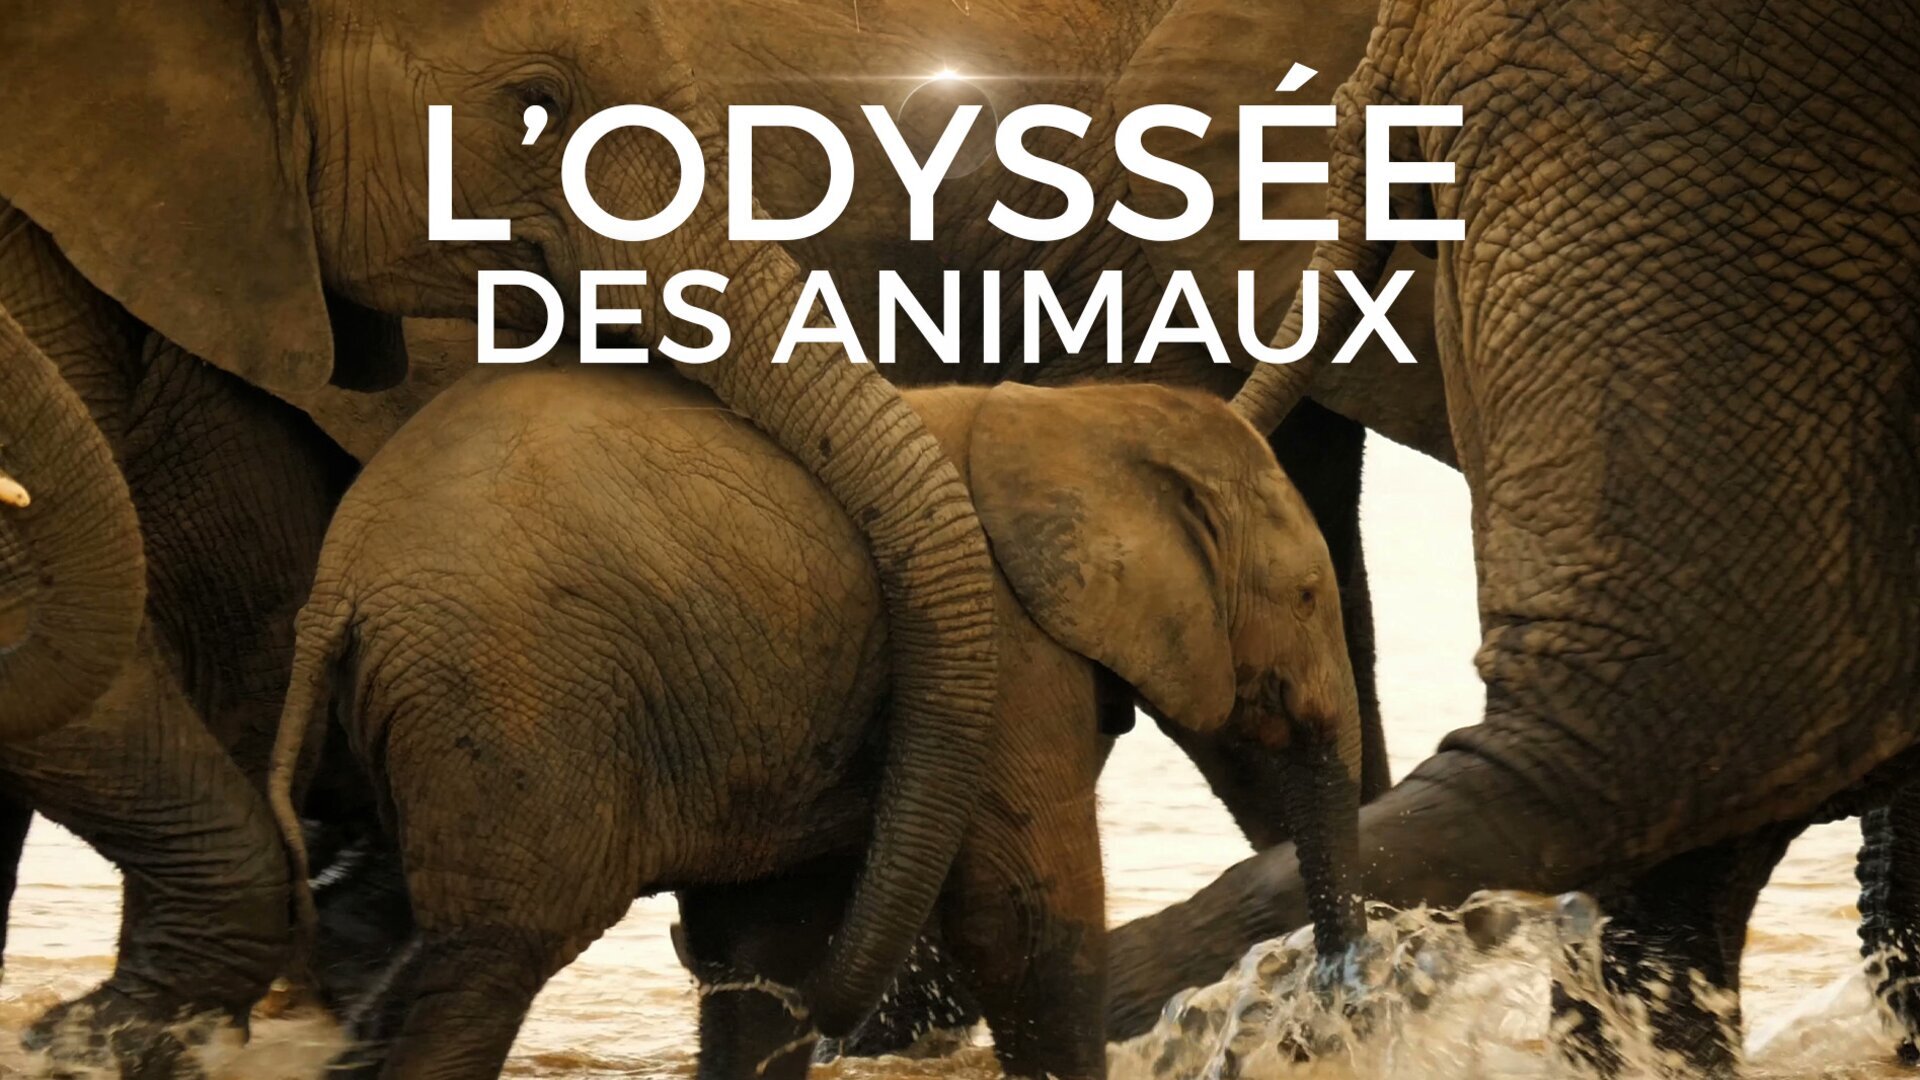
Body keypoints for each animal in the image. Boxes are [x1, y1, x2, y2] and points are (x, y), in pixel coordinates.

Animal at [266, 365, 1368, 1079]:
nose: (1336, 1016)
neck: (1084, 414)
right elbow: (1024, 918)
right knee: (483, 964)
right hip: (511, 698)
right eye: (1310, 597)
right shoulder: (1016, 658)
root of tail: (339, 586)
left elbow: (769, 950)